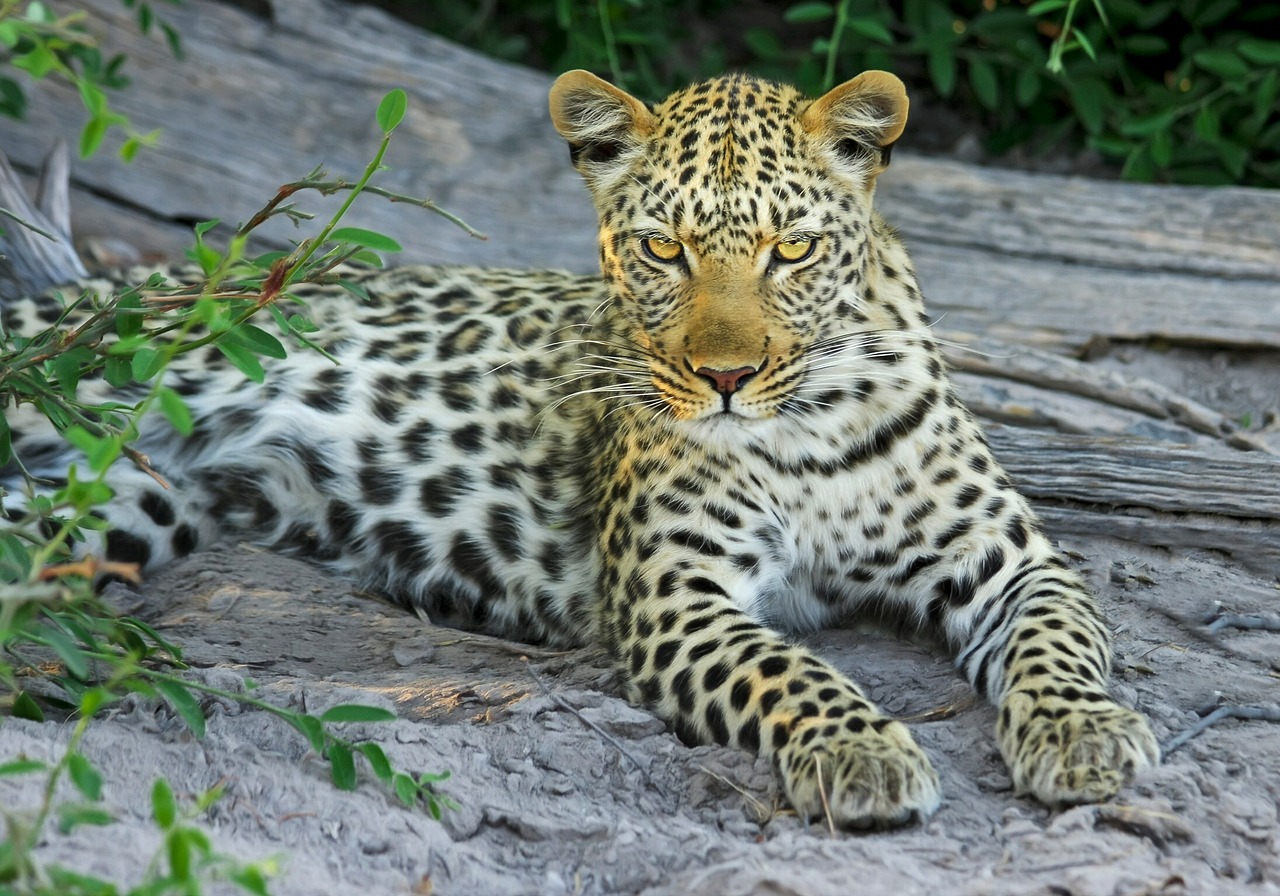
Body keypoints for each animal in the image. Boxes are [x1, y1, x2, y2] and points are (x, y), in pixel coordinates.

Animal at [2, 68, 1162, 824]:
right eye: (662, 248)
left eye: (791, 250)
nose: (726, 378)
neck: (808, 424)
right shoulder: (674, 595)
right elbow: (790, 668)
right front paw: (860, 747)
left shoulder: (1010, 558)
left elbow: (1059, 640)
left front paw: (1083, 733)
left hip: (119, 506)